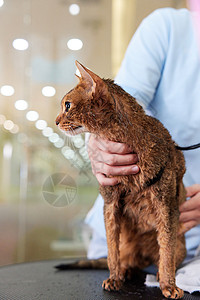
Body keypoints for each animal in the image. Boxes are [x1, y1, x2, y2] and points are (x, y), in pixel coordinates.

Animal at [55, 60, 186, 298]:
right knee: (122, 258)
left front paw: (168, 285)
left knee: (160, 258)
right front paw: (114, 278)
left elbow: (167, 252)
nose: (56, 121)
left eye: (67, 105)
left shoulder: (166, 204)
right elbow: (112, 251)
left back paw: (154, 274)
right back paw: (124, 271)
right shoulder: (110, 203)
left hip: (181, 244)